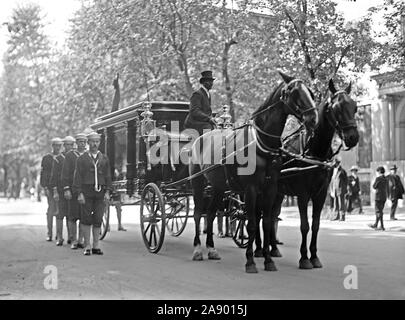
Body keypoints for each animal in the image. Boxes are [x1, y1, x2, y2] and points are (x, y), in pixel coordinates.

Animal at [189, 72, 318, 272]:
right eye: (294, 92)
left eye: (310, 92)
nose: (313, 119)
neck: (261, 144)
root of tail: (199, 138)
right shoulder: (251, 188)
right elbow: (251, 224)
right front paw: (250, 261)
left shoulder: (271, 188)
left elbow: (266, 223)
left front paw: (268, 260)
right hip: (197, 183)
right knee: (197, 214)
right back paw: (197, 249)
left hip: (218, 187)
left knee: (210, 214)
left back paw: (211, 248)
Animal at [254, 79, 358, 268]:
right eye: (337, 108)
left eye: (355, 107)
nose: (353, 137)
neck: (315, 150)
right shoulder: (302, 193)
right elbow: (305, 225)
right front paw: (304, 258)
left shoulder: (321, 193)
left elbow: (315, 225)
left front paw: (314, 256)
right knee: (258, 215)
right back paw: (258, 248)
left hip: (278, 192)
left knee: (272, 216)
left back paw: (273, 248)